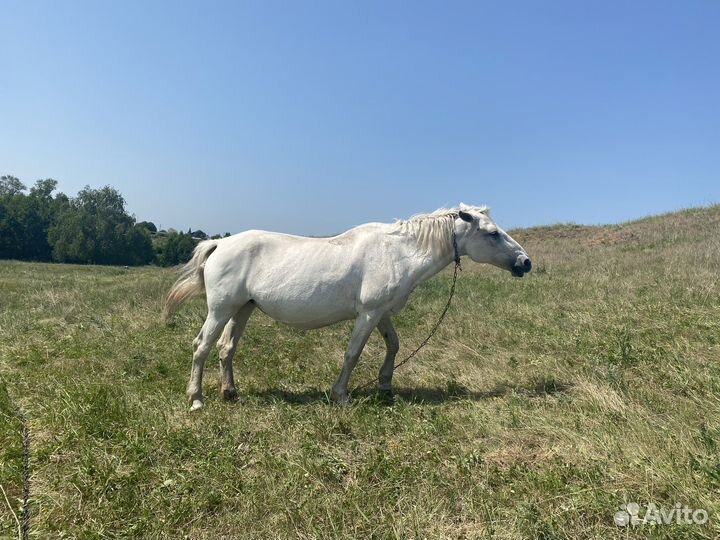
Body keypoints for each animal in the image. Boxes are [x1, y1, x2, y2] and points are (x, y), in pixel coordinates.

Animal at [164, 204, 532, 410]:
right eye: (493, 233)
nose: (525, 262)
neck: (398, 252)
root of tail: (220, 244)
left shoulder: (381, 313)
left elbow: (394, 345)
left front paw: (385, 387)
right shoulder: (368, 313)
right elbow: (353, 353)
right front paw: (341, 395)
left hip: (243, 308)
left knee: (227, 348)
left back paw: (230, 393)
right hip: (220, 310)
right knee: (202, 347)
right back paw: (196, 399)